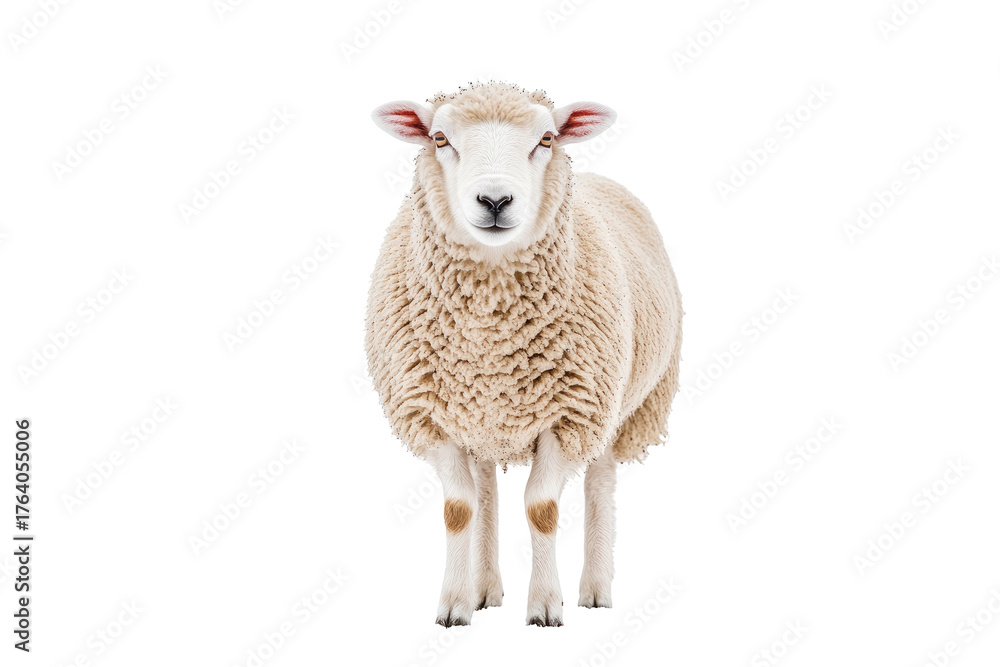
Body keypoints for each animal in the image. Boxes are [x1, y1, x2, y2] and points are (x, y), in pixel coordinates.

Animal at [366, 82, 682, 627]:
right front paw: (454, 605)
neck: (492, 335)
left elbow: (542, 509)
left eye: (547, 139)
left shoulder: (572, 412)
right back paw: (486, 590)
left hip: (618, 405)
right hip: (482, 416)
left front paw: (546, 606)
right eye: (440, 137)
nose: (495, 200)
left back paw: (595, 591)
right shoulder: (434, 416)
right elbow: (459, 509)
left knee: (599, 482)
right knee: (486, 487)